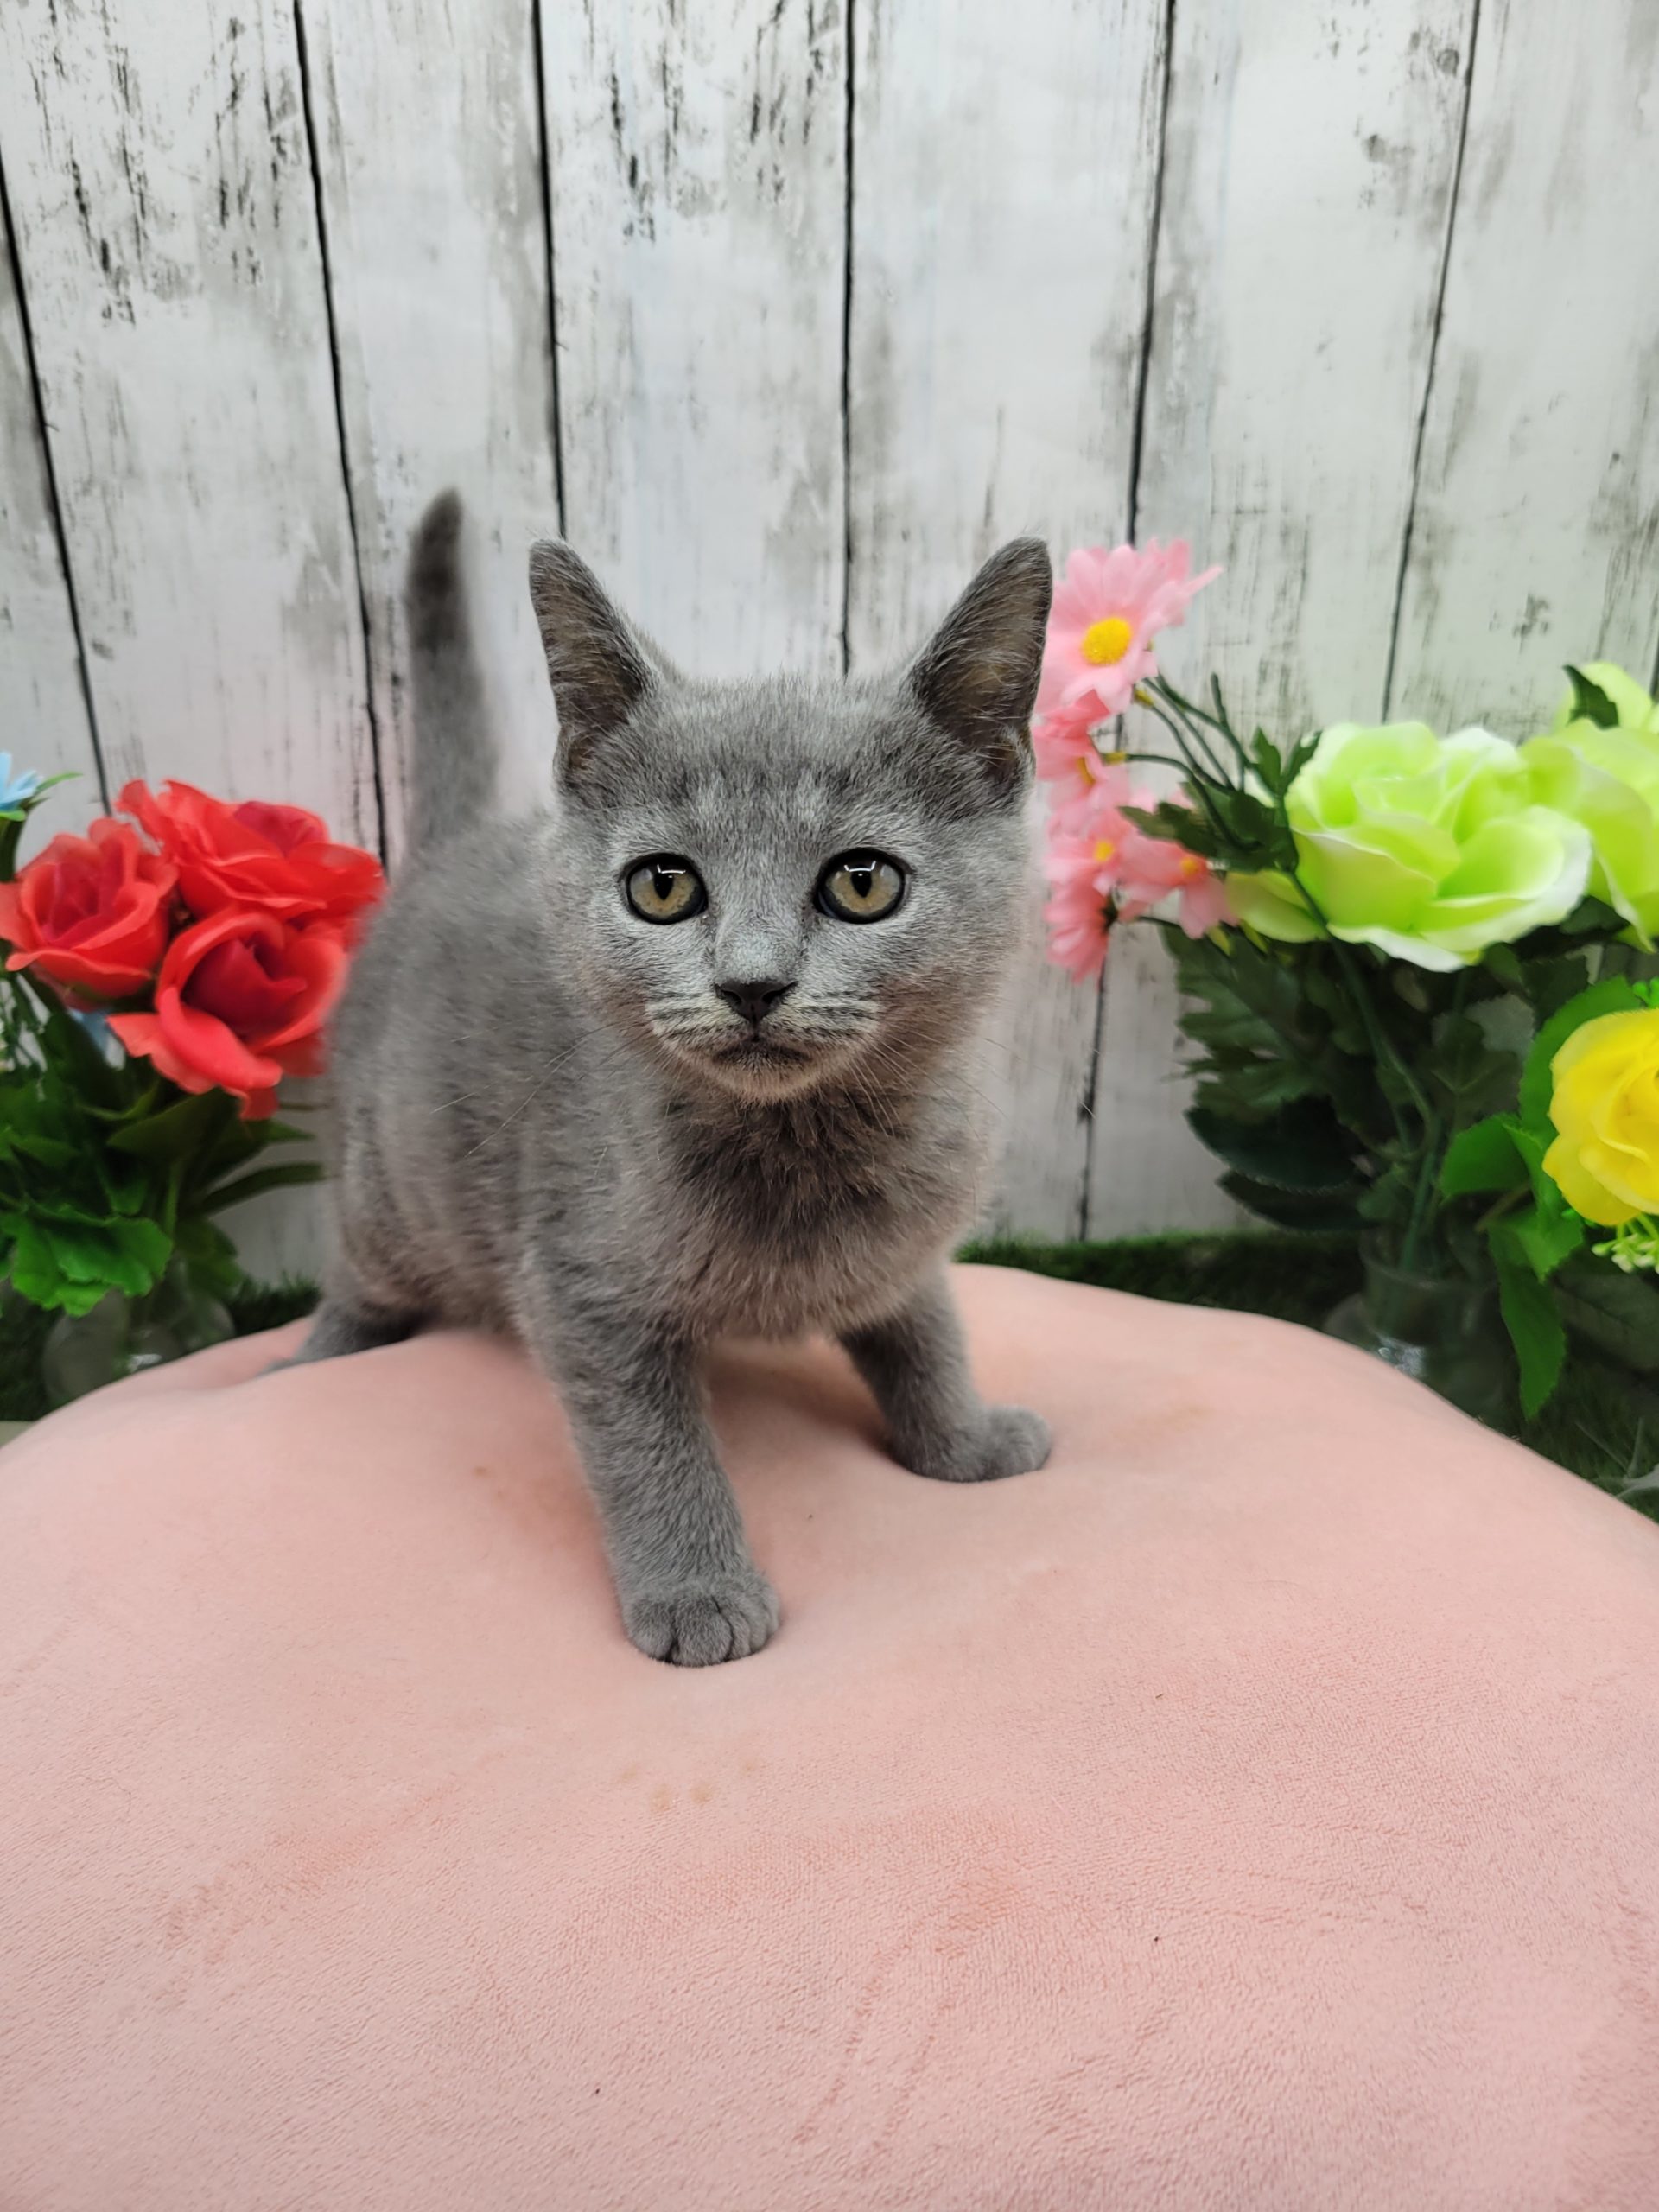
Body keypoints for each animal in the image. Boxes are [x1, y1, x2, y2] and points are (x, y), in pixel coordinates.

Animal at [292, 491, 1055, 1664]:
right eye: (663, 887)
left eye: (863, 882)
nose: (752, 982)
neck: (803, 1144)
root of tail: (446, 852)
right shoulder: (579, 1282)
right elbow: (652, 1444)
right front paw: (699, 1592)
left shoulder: (904, 1247)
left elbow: (925, 1329)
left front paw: (964, 1437)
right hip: (395, 1191)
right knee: (356, 1278)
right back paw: (303, 1363)